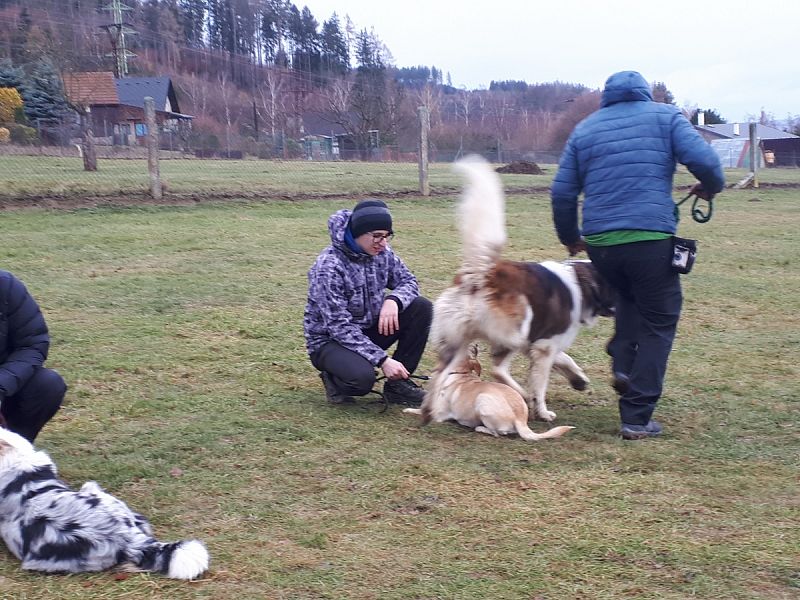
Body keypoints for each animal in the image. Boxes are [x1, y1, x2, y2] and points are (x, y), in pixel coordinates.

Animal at [406, 346, 576, 440]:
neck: (461, 374)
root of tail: (521, 420)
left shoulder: (438, 414)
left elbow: (419, 411)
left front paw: (408, 410)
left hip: (482, 401)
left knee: (498, 433)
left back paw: (478, 427)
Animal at [428, 157, 616, 424]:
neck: (582, 283)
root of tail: (481, 274)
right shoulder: (544, 345)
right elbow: (541, 381)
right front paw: (543, 410)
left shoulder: (540, 341)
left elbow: (564, 358)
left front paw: (578, 379)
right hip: (514, 331)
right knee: (498, 369)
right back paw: (525, 397)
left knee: (475, 369)